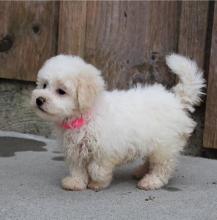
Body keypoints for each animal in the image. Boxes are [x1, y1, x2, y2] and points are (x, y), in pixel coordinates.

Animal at [31, 53, 204, 191]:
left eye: (61, 91)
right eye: (44, 85)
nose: (39, 99)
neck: (83, 116)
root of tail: (176, 100)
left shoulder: (105, 149)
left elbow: (96, 168)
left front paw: (97, 183)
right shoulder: (74, 149)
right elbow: (77, 168)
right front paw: (75, 182)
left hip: (164, 145)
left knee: (163, 166)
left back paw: (151, 181)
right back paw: (141, 172)